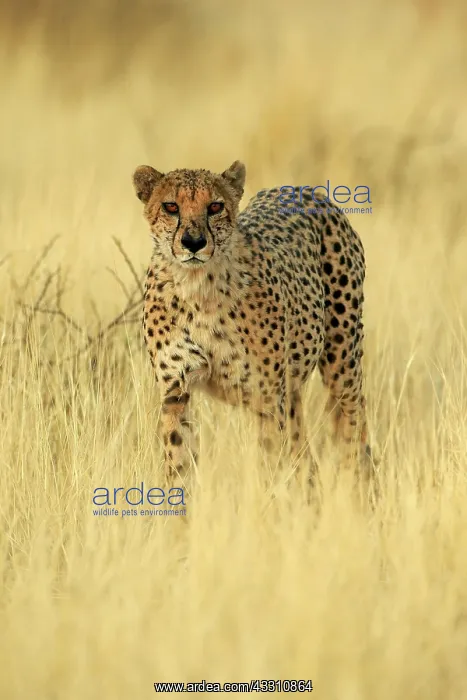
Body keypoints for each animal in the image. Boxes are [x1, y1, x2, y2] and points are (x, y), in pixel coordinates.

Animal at [132, 160, 373, 485]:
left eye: (215, 206)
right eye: (171, 206)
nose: (193, 242)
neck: (198, 287)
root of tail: (300, 189)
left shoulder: (267, 397)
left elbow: (272, 461)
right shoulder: (175, 391)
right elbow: (179, 461)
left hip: (342, 361)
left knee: (353, 428)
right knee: (304, 454)